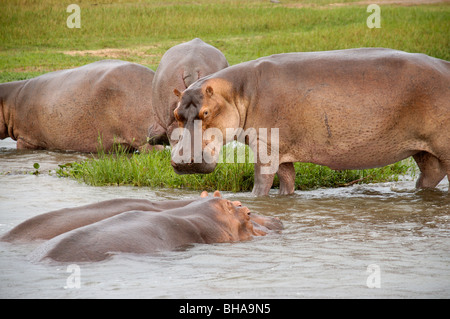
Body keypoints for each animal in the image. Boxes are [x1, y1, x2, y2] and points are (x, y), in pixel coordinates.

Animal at [169, 48, 450, 196]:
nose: (183, 160)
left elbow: (262, 180)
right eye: (176, 113)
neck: (237, 93)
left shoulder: (265, 144)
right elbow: (287, 178)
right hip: (424, 152)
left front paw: (257, 200)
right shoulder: (280, 148)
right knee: (430, 176)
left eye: (206, 113)